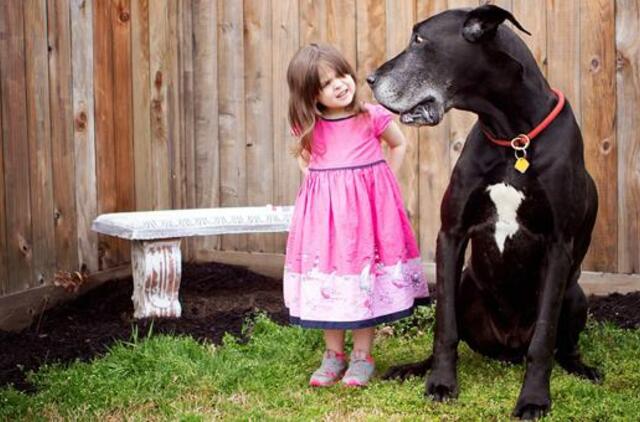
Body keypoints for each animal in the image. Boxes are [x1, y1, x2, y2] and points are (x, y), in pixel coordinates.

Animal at [368, 4, 604, 418]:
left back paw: (581, 368)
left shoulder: (559, 244)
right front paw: (441, 382)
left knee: (563, 346)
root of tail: (507, 348)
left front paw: (534, 399)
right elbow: (444, 328)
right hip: (466, 285)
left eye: (419, 39)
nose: (369, 79)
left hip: (576, 295)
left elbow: (543, 339)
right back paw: (413, 368)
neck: (513, 136)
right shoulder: (451, 232)